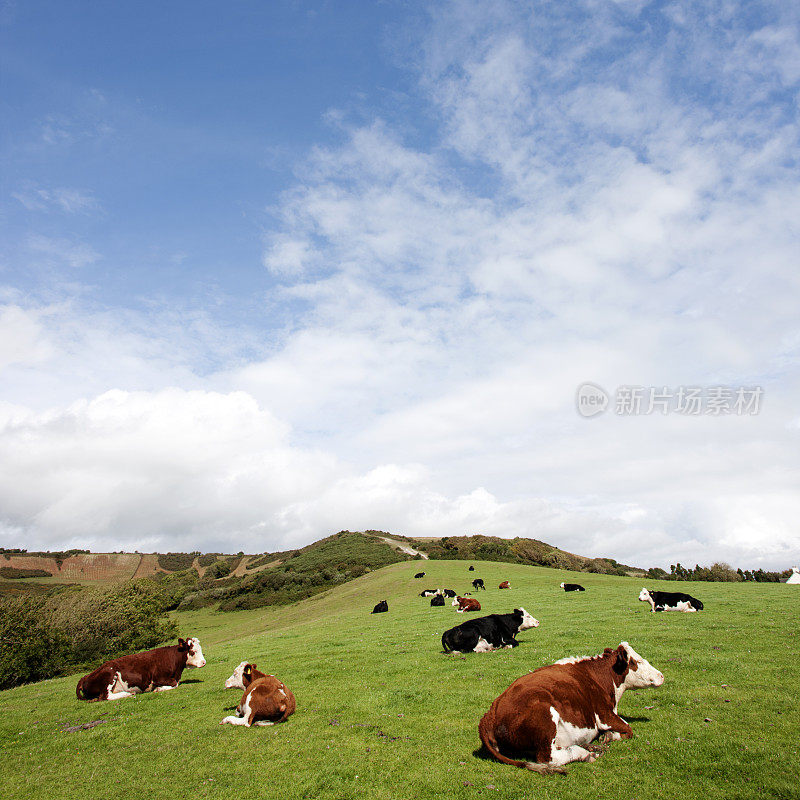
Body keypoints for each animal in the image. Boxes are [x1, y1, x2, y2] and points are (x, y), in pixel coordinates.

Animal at [75, 636, 206, 700]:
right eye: (193, 651)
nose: (204, 662)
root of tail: (85, 676)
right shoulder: (158, 678)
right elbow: (174, 683)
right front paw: (158, 689)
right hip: (109, 675)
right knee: (105, 696)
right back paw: (128, 693)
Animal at [478, 636, 664, 776]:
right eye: (637, 661)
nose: (661, 676)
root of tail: (491, 712)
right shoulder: (604, 714)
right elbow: (628, 729)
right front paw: (609, 736)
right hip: (545, 716)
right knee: (548, 757)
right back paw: (585, 753)